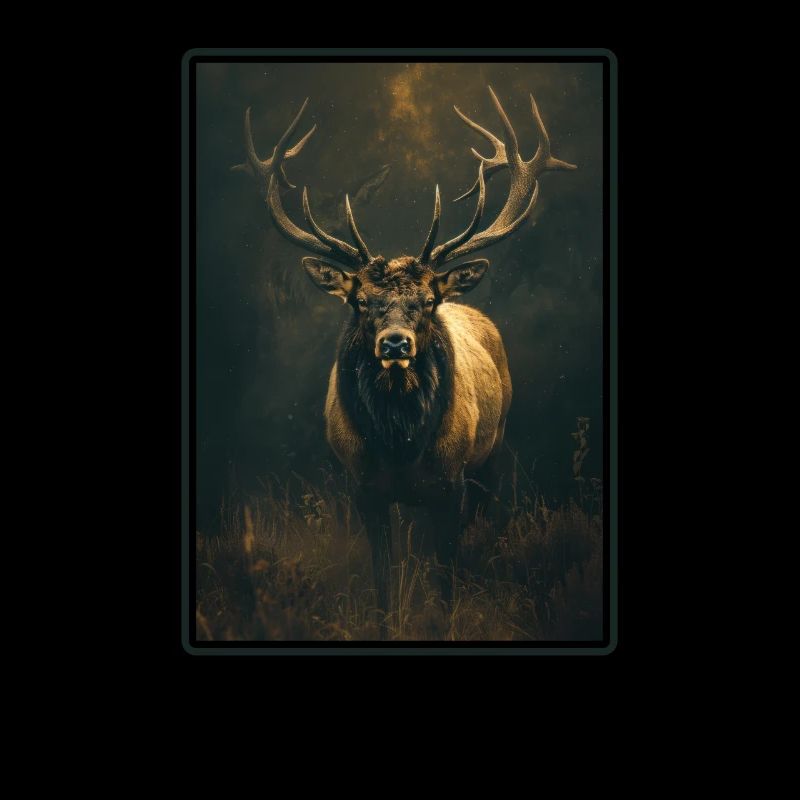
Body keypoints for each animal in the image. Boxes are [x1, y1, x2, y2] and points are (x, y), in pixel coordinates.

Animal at [232, 87, 576, 615]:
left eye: (428, 300)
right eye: (360, 301)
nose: (395, 342)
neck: (400, 447)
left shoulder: (451, 483)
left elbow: (445, 579)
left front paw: (448, 616)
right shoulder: (363, 489)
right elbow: (383, 585)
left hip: (493, 451)